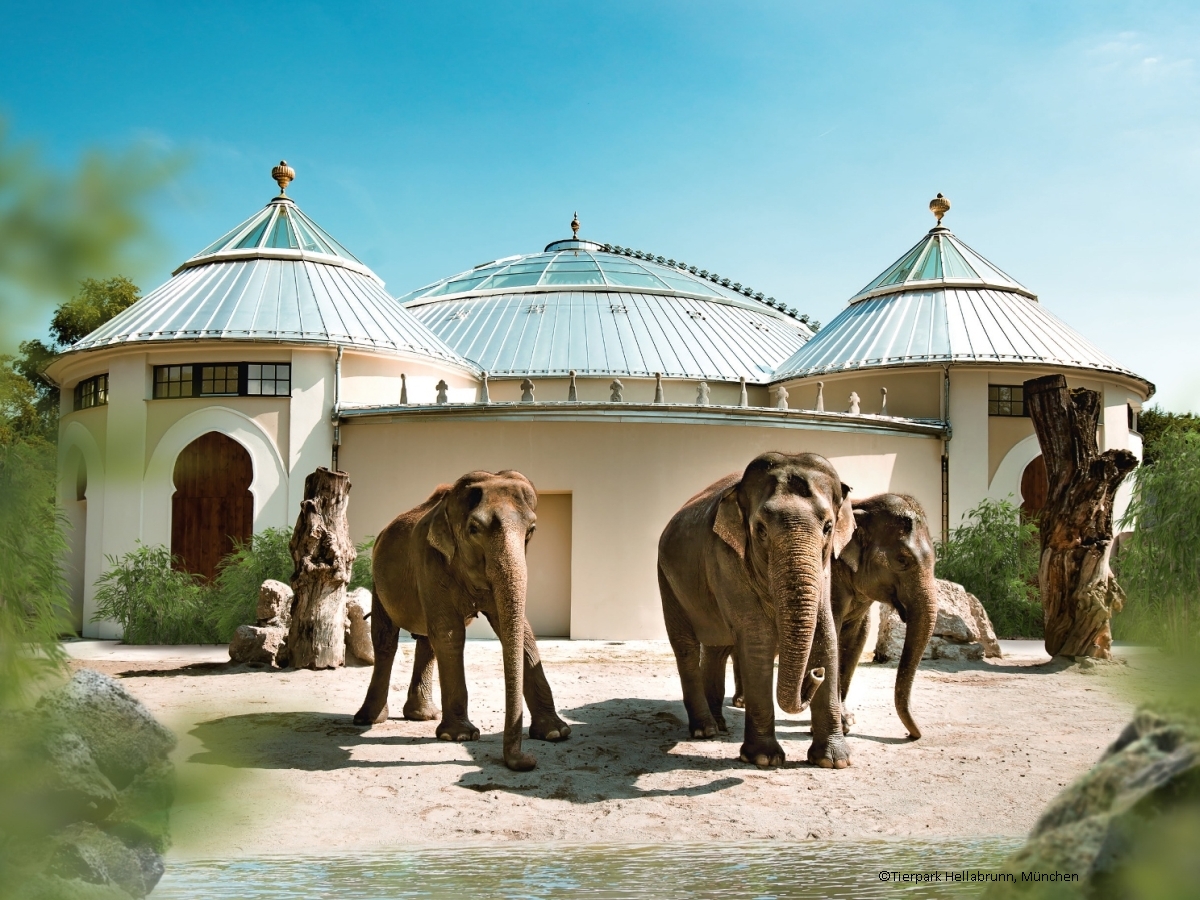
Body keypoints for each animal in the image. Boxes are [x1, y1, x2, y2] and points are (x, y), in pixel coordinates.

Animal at [350, 468, 571, 772]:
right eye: (474, 529)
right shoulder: (428, 558)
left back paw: (422, 715)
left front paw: (555, 733)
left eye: (531, 531)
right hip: (377, 579)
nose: (527, 760)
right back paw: (368, 720)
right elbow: (450, 633)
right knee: (387, 641)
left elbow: (519, 631)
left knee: (427, 640)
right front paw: (460, 736)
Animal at [657, 451, 854, 768]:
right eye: (760, 529)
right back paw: (705, 730)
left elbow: (826, 636)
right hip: (667, 581)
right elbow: (757, 640)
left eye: (828, 527)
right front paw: (764, 759)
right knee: (686, 647)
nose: (817, 674)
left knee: (716, 647)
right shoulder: (726, 557)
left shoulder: (826, 569)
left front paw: (834, 761)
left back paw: (718, 724)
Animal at [835, 494, 936, 739]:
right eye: (902, 560)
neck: (861, 505)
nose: (912, 735)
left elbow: (857, 636)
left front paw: (847, 722)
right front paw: (840, 725)